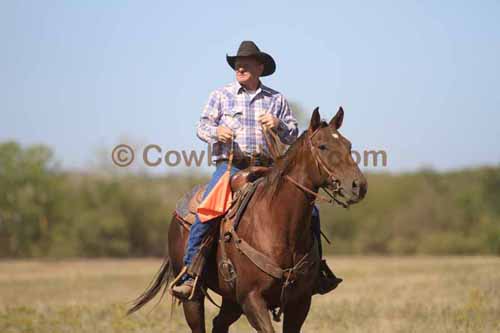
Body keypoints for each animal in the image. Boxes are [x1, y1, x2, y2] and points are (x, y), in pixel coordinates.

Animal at [129, 107, 368, 330]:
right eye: (322, 146)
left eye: (348, 145)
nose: (359, 186)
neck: (279, 227)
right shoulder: (251, 299)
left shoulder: (300, 302)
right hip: (194, 299)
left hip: (231, 300)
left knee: (219, 324)